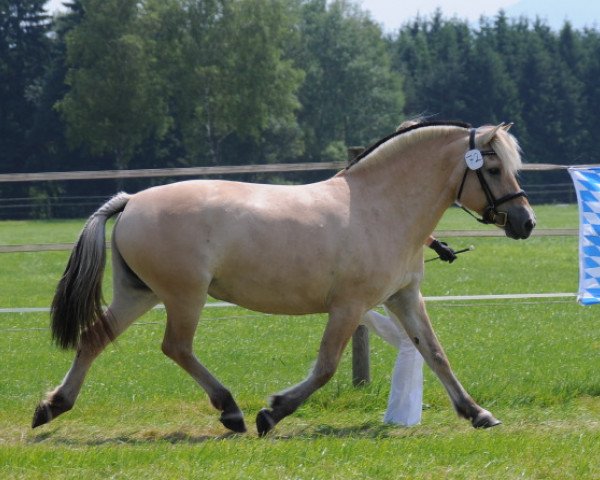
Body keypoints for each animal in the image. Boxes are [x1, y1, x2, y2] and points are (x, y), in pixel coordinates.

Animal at [31, 121, 536, 436]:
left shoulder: (403, 297)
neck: (381, 207)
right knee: (175, 347)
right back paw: (231, 411)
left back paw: (52, 406)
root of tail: (131, 200)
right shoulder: (350, 307)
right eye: (493, 168)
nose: (525, 222)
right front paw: (271, 413)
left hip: (140, 293)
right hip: (183, 296)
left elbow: (436, 353)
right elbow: (326, 367)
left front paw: (477, 413)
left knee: (95, 337)